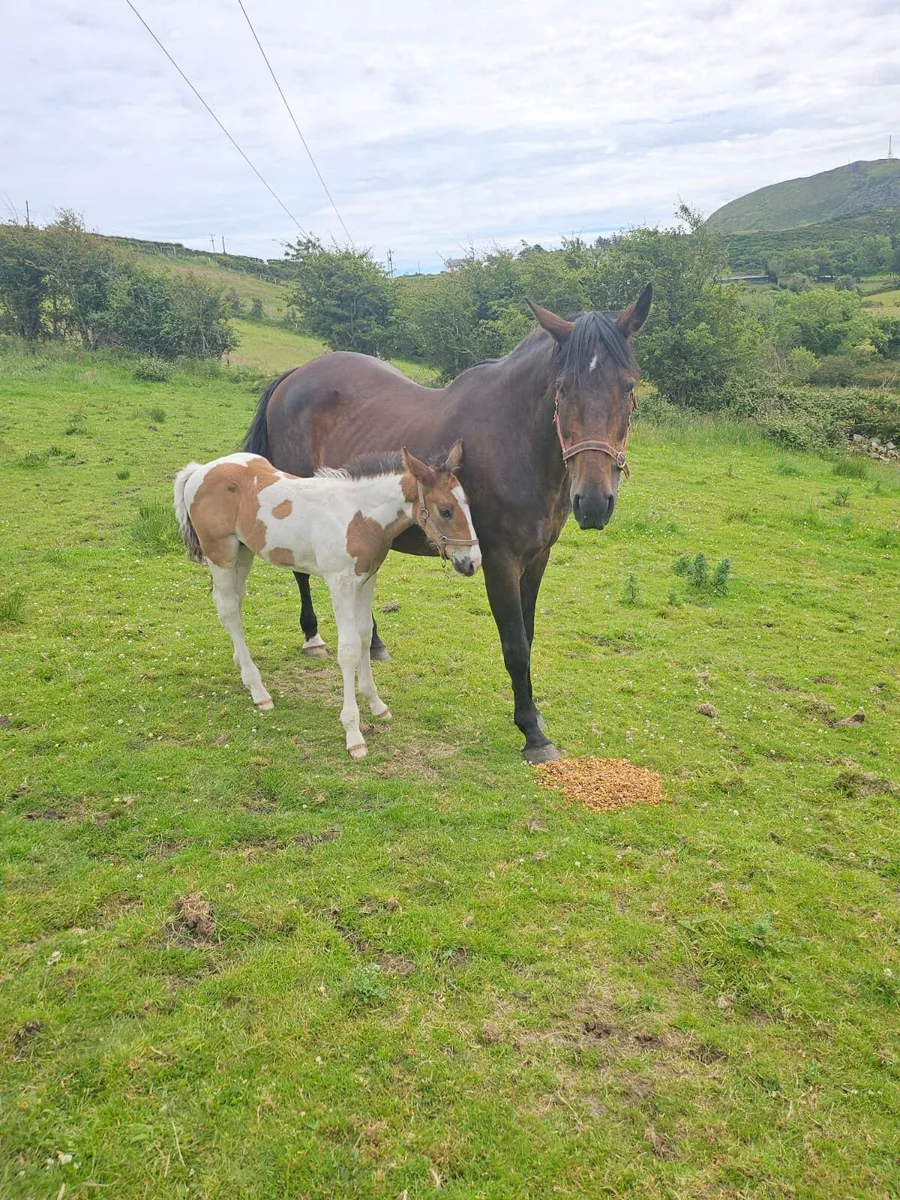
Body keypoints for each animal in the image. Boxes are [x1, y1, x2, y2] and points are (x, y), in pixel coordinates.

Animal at [173, 443, 480, 758]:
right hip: (221, 552)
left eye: (467, 503)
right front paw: (354, 733)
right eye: (445, 510)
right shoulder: (340, 583)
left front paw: (376, 704)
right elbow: (348, 649)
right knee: (227, 608)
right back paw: (258, 690)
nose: (472, 563)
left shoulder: (367, 579)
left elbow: (365, 636)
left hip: (244, 551)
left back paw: (242, 666)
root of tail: (200, 469)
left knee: (235, 600)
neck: (358, 516)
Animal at [241, 287, 652, 764]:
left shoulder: (537, 559)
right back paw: (312, 638)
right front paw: (532, 733)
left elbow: (528, 636)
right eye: (562, 388)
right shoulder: (498, 560)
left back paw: (374, 643)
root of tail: (294, 376)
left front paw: (534, 714)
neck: (514, 439)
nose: (593, 503)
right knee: (301, 573)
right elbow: (515, 647)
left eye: (628, 386)